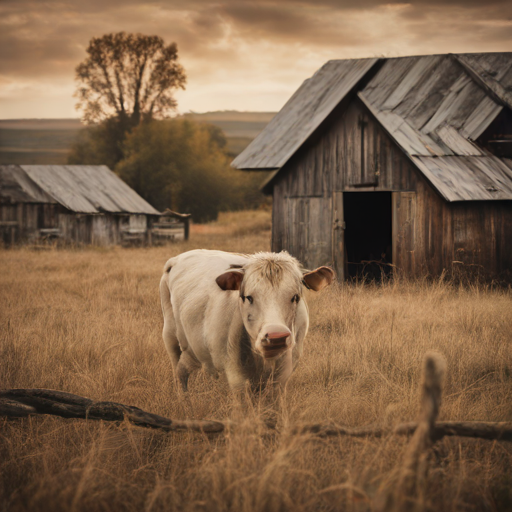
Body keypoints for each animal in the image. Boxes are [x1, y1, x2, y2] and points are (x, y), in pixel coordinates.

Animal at [161, 250, 336, 394]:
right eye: (248, 297)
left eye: (295, 297)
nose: (276, 337)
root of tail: (177, 258)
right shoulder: (235, 374)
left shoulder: (284, 371)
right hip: (171, 338)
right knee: (180, 374)